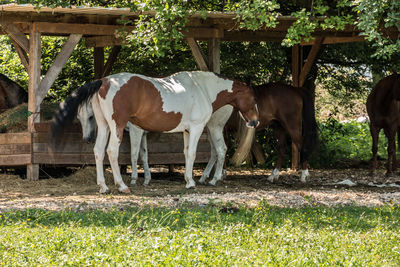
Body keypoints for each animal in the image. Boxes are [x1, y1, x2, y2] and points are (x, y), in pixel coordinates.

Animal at [50, 71, 260, 193]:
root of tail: (103, 81)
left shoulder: (186, 130)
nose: (255, 121)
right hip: (117, 127)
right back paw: (121, 186)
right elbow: (191, 154)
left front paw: (187, 179)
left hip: (104, 127)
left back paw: (104, 187)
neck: (202, 88)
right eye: (252, 98)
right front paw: (190, 182)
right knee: (111, 152)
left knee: (99, 151)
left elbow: (186, 154)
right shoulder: (196, 127)